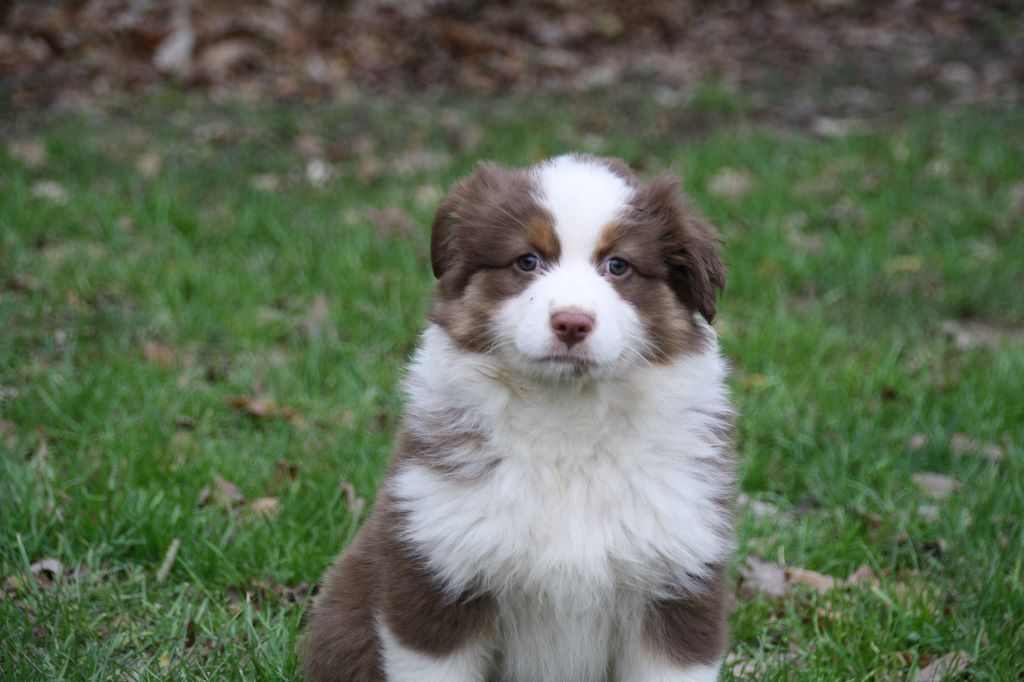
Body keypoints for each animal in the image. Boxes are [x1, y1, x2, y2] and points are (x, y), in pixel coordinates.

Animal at [299, 153, 733, 679]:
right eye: (527, 261)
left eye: (618, 265)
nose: (571, 322)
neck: (568, 423)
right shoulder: (436, 583)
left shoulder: (677, 583)